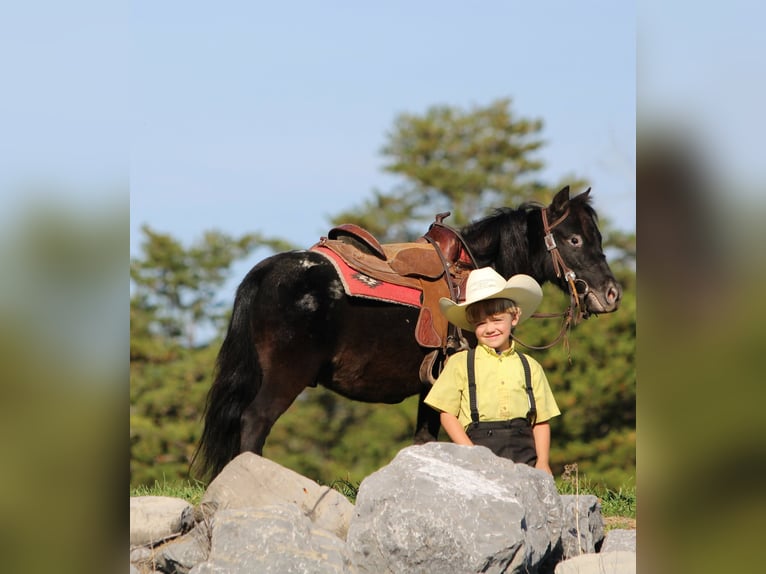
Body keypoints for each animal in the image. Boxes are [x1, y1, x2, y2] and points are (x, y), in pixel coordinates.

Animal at [192, 186, 622, 481]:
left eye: (597, 237)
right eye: (574, 239)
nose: (612, 294)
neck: (476, 274)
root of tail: (264, 272)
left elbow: (423, 441)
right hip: (285, 377)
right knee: (254, 421)